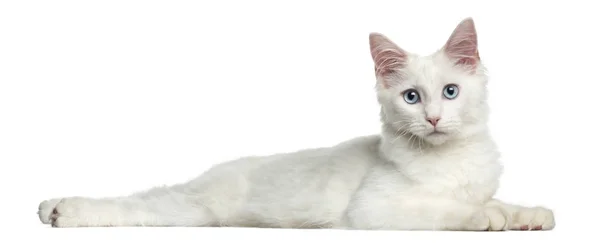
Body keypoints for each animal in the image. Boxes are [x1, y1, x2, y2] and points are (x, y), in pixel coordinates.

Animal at [36, 18, 552, 231]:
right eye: (411, 97)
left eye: (450, 92)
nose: (434, 118)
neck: (451, 159)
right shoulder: (375, 210)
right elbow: (448, 209)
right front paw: (490, 218)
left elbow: (495, 200)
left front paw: (528, 215)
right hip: (192, 209)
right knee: (134, 204)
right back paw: (57, 210)